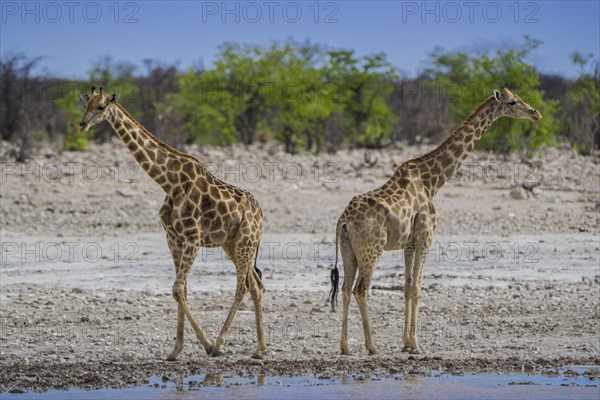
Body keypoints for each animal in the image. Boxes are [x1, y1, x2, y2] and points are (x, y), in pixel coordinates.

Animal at [78, 86, 266, 360]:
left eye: (101, 107)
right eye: (86, 105)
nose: (82, 125)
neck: (169, 182)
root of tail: (260, 215)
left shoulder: (192, 238)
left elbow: (177, 289)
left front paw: (206, 344)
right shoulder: (173, 239)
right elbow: (182, 290)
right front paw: (175, 350)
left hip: (244, 242)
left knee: (242, 286)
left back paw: (220, 344)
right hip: (233, 245)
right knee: (256, 285)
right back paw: (260, 348)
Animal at [328, 86, 544, 354]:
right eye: (513, 102)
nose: (535, 113)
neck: (432, 182)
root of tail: (343, 221)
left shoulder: (409, 244)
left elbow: (407, 287)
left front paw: (406, 343)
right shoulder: (426, 238)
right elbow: (417, 287)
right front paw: (416, 344)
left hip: (349, 251)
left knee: (345, 289)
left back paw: (345, 347)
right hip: (372, 250)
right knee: (361, 290)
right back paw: (372, 346)